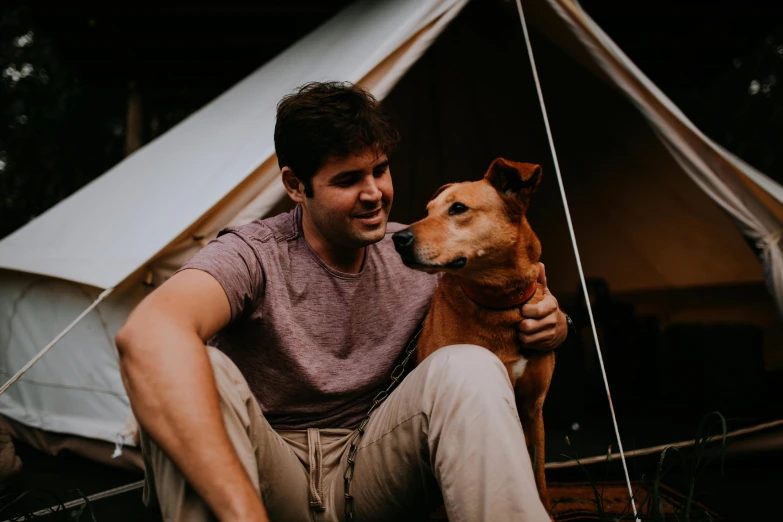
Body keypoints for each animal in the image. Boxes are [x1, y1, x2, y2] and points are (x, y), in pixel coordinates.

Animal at [392, 157, 556, 508]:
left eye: (458, 208)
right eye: (427, 211)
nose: (398, 239)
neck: (499, 304)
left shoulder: (533, 409)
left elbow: (538, 481)